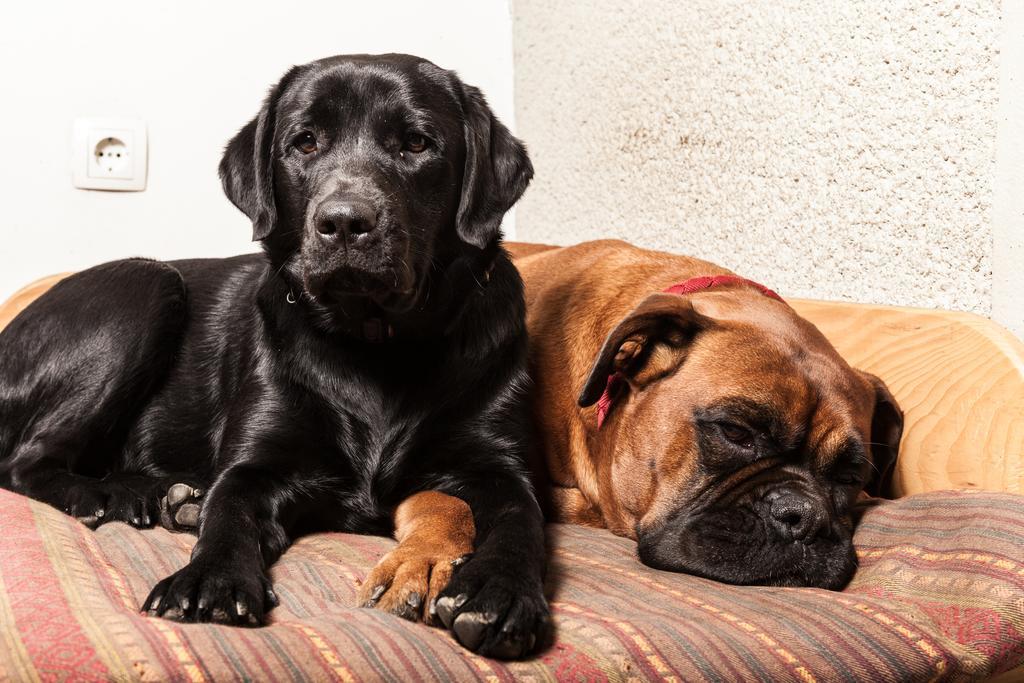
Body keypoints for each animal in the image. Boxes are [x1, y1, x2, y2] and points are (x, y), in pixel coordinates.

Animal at [0, 53, 548, 655]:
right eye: (304, 142)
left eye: (418, 143)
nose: (345, 221)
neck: (374, 342)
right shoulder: (255, 464)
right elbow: (229, 511)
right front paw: (209, 579)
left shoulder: (502, 468)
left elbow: (522, 522)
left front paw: (499, 592)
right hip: (146, 285)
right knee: (24, 461)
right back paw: (109, 496)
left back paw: (161, 495)